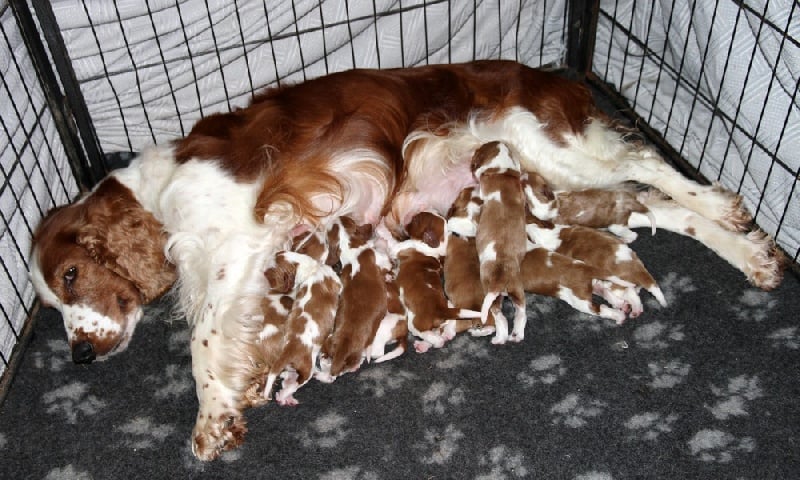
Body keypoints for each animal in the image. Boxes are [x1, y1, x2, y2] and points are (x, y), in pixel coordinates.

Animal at [390, 212, 478, 350]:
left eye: (416, 220)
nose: (407, 219)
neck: (435, 246)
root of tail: (441, 310)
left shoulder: (401, 248)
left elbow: (397, 247)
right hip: (450, 305)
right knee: (449, 324)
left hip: (414, 323)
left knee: (433, 337)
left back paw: (428, 343)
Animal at [472, 141, 528, 344]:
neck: (502, 170)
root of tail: (501, 277)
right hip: (517, 290)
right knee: (521, 314)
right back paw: (517, 335)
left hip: (491, 294)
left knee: (500, 318)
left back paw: (499, 338)